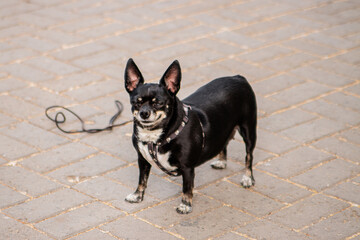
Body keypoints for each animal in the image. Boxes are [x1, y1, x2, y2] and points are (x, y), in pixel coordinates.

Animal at [124, 58, 256, 214]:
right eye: (136, 102)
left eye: (159, 103)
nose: (144, 113)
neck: (155, 137)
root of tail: (238, 77)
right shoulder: (143, 160)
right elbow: (142, 180)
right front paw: (137, 196)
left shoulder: (187, 168)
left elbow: (187, 188)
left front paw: (185, 205)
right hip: (222, 127)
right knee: (223, 143)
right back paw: (221, 161)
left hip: (249, 131)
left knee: (249, 157)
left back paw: (247, 178)